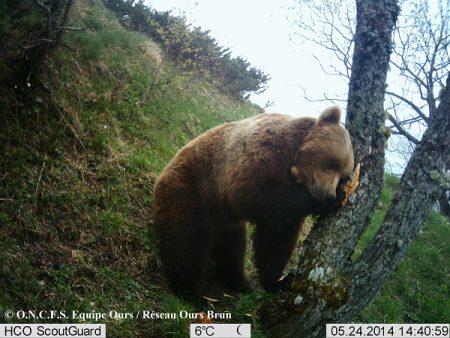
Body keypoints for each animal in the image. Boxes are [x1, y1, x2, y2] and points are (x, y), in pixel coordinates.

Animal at [153, 106, 354, 296]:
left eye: (343, 175)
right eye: (332, 163)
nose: (329, 194)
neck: (295, 163)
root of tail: (162, 174)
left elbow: (276, 237)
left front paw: (277, 281)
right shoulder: (267, 149)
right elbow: (253, 193)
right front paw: (329, 202)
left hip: (225, 218)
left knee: (232, 248)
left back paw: (240, 283)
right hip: (190, 192)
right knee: (189, 242)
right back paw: (190, 292)